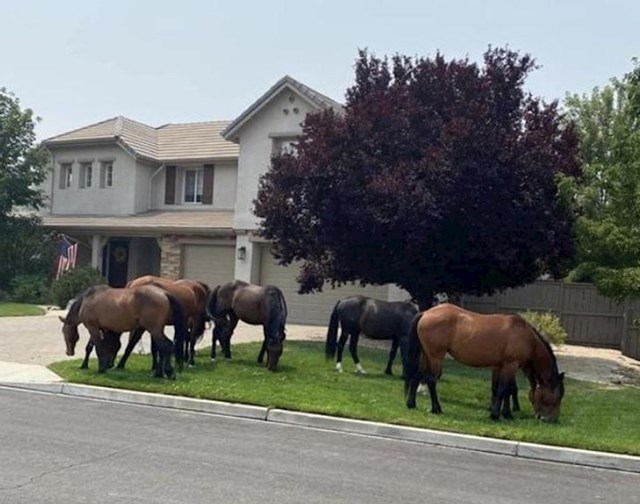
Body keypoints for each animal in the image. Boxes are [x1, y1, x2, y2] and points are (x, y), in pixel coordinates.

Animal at [404, 304, 564, 422]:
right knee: (431, 380)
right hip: (436, 356)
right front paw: (495, 415)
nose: (551, 419)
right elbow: (504, 389)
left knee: (417, 376)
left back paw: (411, 404)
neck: (525, 336)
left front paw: (506, 413)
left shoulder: (501, 366)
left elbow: (504, 389)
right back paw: (436, 409)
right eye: (557, 397)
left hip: (426, 355)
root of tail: (426, 313)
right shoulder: (511, 364)